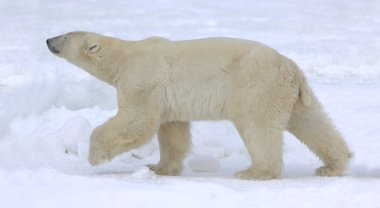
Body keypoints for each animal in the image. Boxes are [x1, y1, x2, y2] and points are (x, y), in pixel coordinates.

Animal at [47, 31, 354, 180]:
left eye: (65, 36)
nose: (48, 40)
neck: (125, 55)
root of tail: (292, 69)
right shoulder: (165, 96)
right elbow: (172, 131)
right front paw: (160, 168)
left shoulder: (141, 80)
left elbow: (136, 122)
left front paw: (94, 155)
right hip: (290, 95)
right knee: (313, 122)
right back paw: (333, 165)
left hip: (256, 86)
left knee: (258, 128)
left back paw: (254, 172)